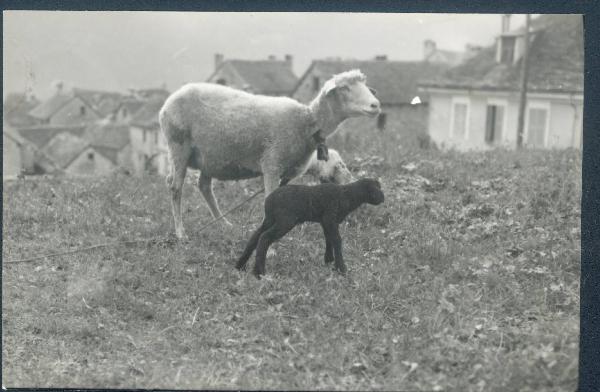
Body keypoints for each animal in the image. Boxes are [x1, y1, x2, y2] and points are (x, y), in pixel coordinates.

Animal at [159, 68, 380, 237]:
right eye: (344, 88)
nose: (376, 105)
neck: (307, 123)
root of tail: (168, 102)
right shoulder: (272, 164)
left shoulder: (285, 173)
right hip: (179, 145)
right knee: (175, 187)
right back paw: (181, 233)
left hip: (211, 157)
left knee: (204, 186)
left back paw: (223, 224)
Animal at [234, 179, 384, 278]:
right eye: (376, 189)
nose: (383, 198)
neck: (347, 195)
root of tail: (269, 201)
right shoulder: (330, 217)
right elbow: (337, 240)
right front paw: (341, 268)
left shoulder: (326, 221)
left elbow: (329, 238)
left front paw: (329, 260)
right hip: (285, 221)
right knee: (264, 237)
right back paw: (259, 272)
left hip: (270, 219)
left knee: (255, 237)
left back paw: (240, 266)